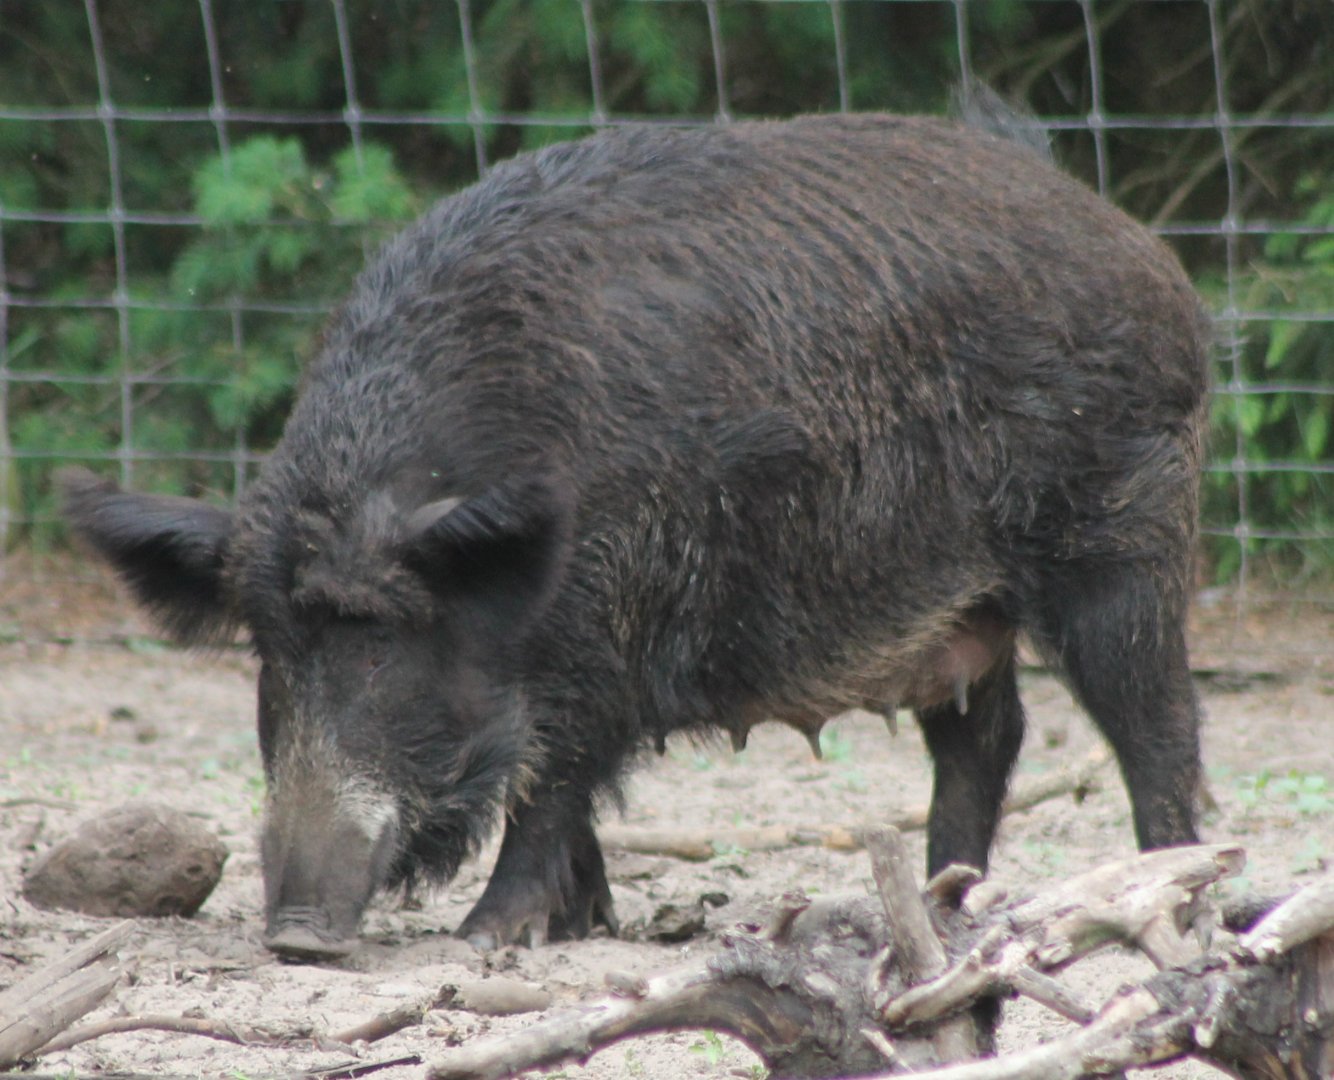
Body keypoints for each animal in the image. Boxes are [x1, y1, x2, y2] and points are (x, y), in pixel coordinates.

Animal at [62, 111, 1210, 959]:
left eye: (382, 642)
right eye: (271, 651)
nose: (298, 934)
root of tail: (1144, 253)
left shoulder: (603, 634)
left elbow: (550, 784)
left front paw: (487, 941)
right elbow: (558, 796)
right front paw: (584, 926)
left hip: (1124, 539)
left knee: (1154, 725)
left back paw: (1168, 893)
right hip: (960, 612)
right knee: (986, 735)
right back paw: (937, 910)